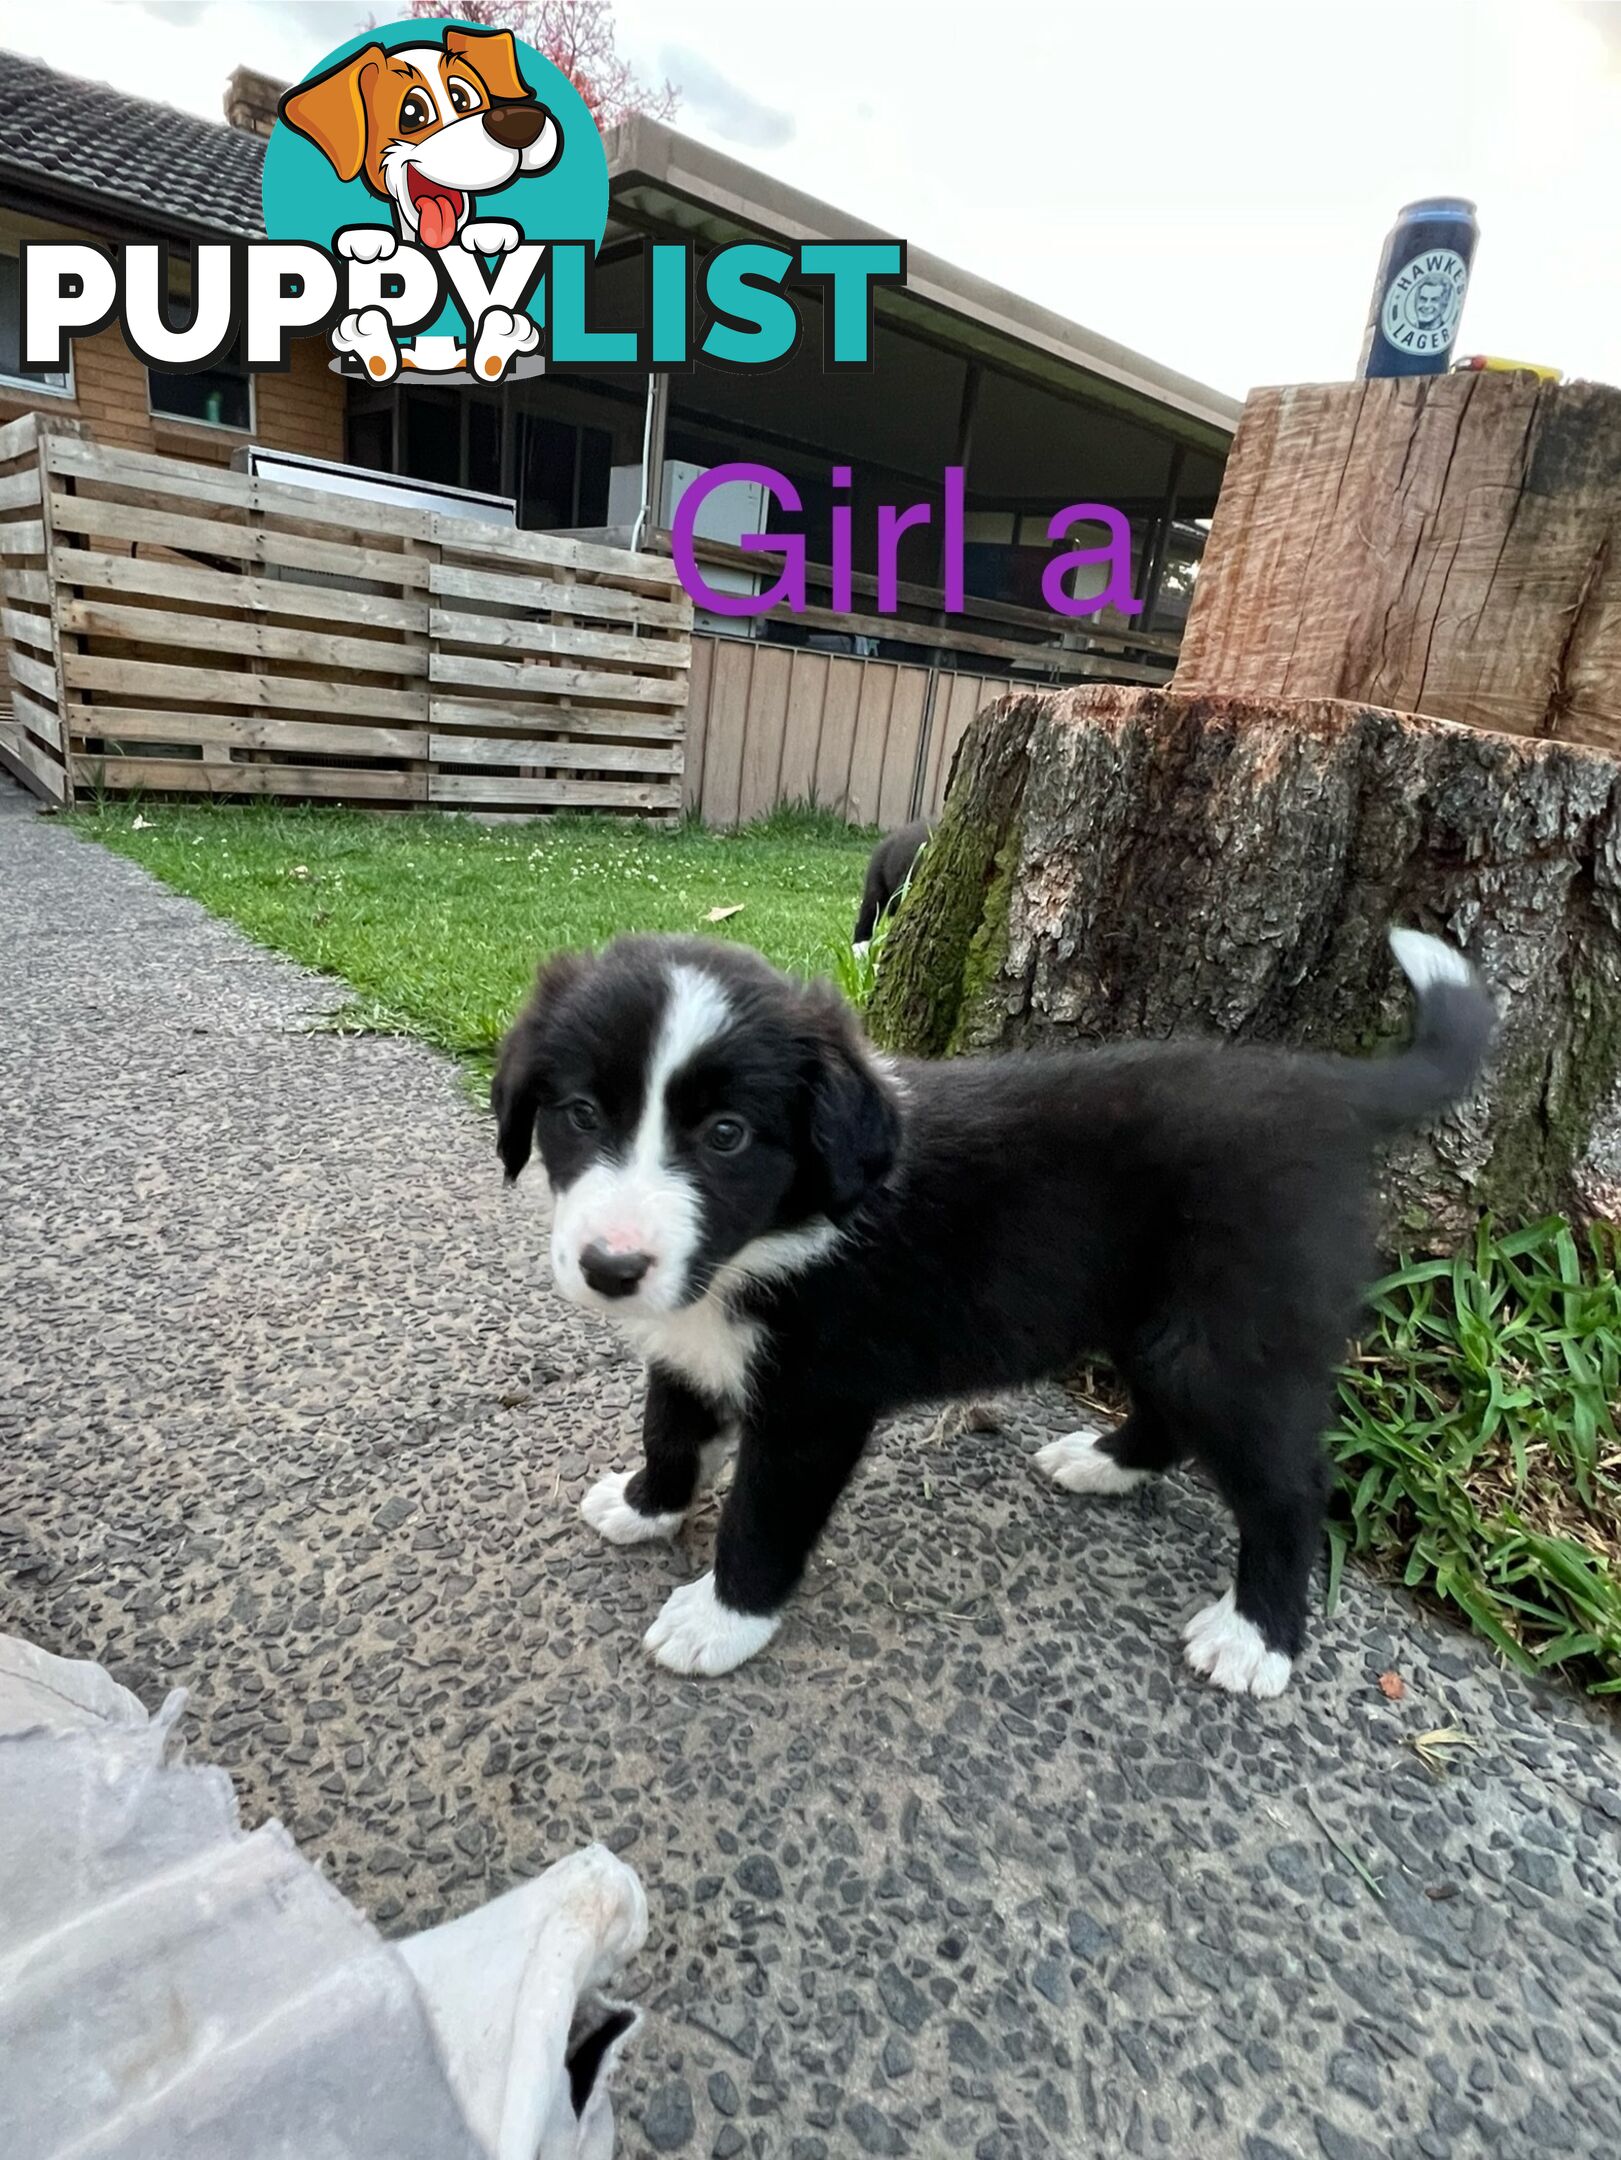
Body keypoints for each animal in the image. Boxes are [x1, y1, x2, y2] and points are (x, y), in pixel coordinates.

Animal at [494, 928, 1495, 1702]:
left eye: (726, 1136)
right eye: (579, 1113)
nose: (611, 1268)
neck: (767, 1241)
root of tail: (1325, 1092)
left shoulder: (816, 1405)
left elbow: (762, 1516)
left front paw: (718, 1620)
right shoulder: (689, 1343)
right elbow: (671, 1427)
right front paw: (646, 1505)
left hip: (1232, 1333)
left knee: (1290, 1488)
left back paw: (1257, 1639)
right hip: (1156, 1321)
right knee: (1171, 1415)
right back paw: (1102, 1463)